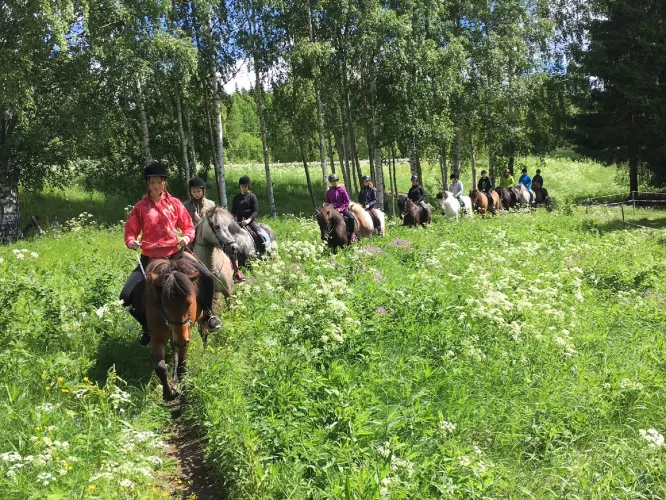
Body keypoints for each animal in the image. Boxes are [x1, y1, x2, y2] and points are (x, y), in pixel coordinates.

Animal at [146, 256, 204, 400]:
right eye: (165, 305)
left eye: (189, 303)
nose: (181, 341)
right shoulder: (156, 338)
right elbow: (161, 368)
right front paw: (168, 392)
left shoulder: (187, 334)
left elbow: (182, 363)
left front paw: (183, 386)